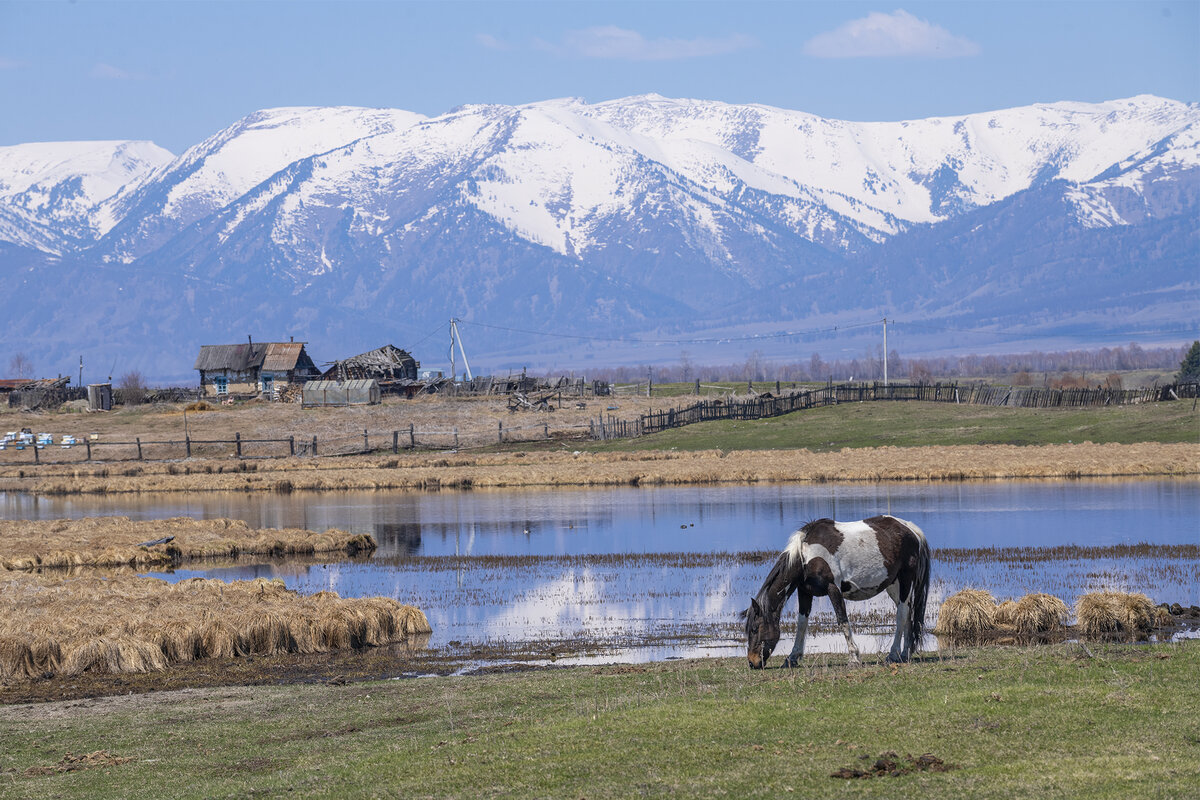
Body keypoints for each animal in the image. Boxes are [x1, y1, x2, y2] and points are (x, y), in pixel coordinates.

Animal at [739, 515, 926, 666]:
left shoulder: (833, 588)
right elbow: (801, 624)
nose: (752, 662)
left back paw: (893, 655)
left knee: (902, 613)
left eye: (754, 629)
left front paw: (854, 658)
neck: (805, 556)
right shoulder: (804, 592)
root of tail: (910, 529)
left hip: (906, 579)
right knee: (908, 612)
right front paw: (792, 658)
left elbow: (842, 620)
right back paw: (905, 653)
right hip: (894, 586)